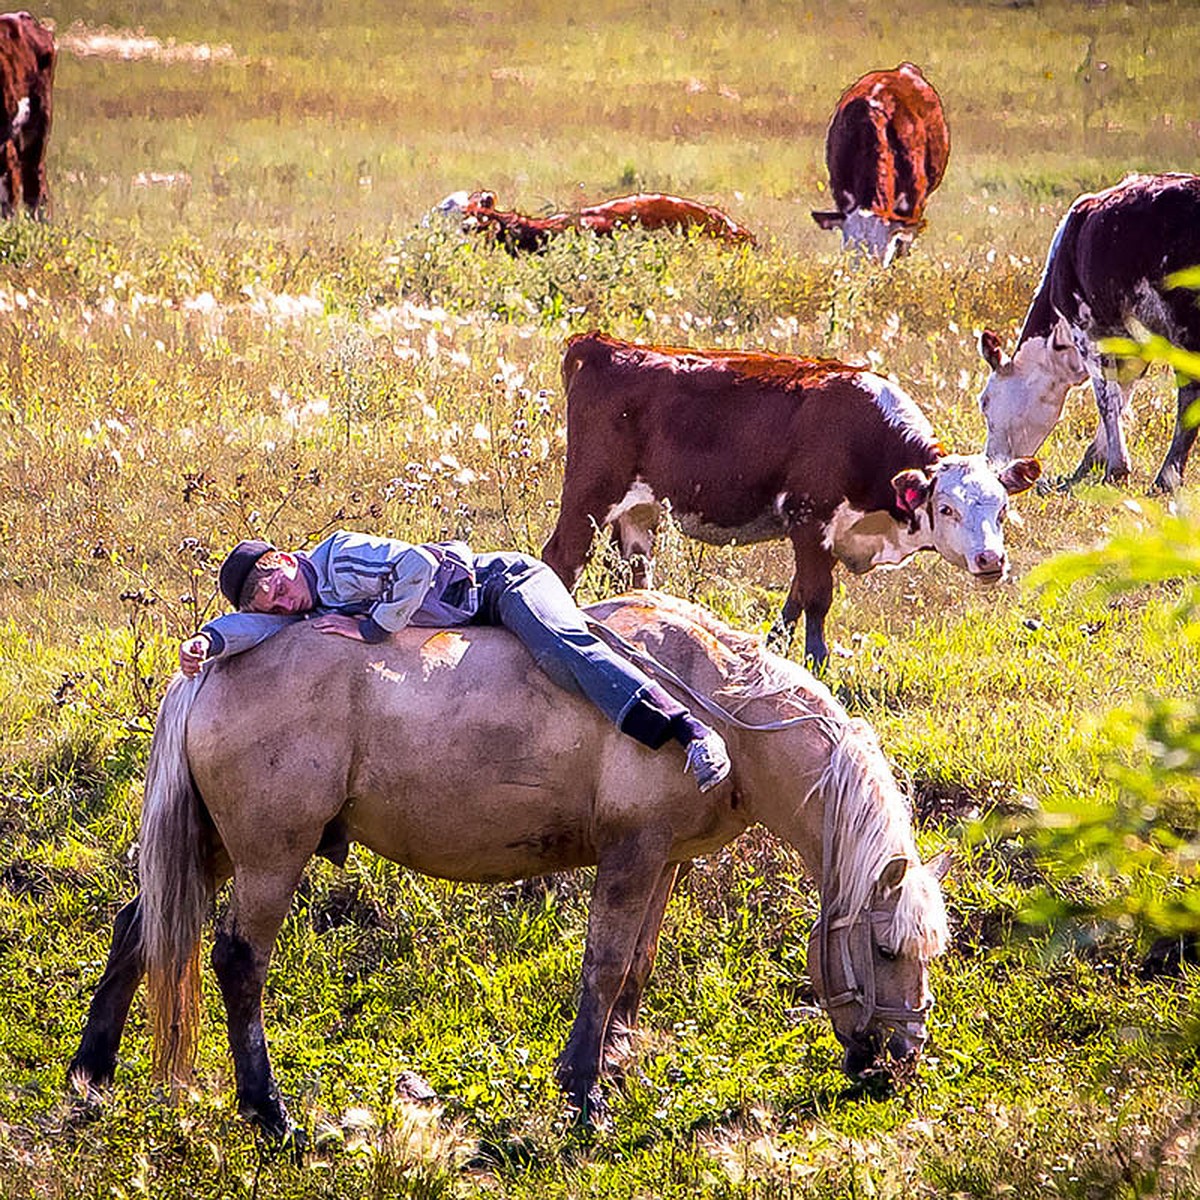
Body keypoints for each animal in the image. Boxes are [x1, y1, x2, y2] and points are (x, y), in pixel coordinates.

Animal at [68, 590, 945, 1132]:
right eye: (886, 947)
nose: (902, 1063)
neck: (712, 705)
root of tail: (206, 664)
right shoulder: (630, 857)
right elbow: (604, 964)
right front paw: (584, 1091)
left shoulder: (662, 863)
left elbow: (637, 967)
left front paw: (614, 1063)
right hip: (268, 859)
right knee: (237, 962)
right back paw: (268, 1112)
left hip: (212, 848)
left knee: (138, 928)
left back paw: (91, 1077)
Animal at [544, 333, 1041, 667]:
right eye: (947, 508)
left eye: (1001, 509)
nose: (991, 560)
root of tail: (602, 345)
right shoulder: (810, 517)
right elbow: (817, 597)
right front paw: (817, 663)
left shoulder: (826, 535)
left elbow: (797, 595)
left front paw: (772, 650)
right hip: (590, 493)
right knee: (562, 559)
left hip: (640, 511)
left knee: (634, 573)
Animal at [974, 171, 1200, 489]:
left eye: (985, 402)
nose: (990, 465)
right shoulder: (1135, 344)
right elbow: (1122, 396)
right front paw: (1091, 462)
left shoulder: (1089, 330)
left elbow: (1107, 399)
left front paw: (1116, 469)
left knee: (1190, 393)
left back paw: (1166, 477)